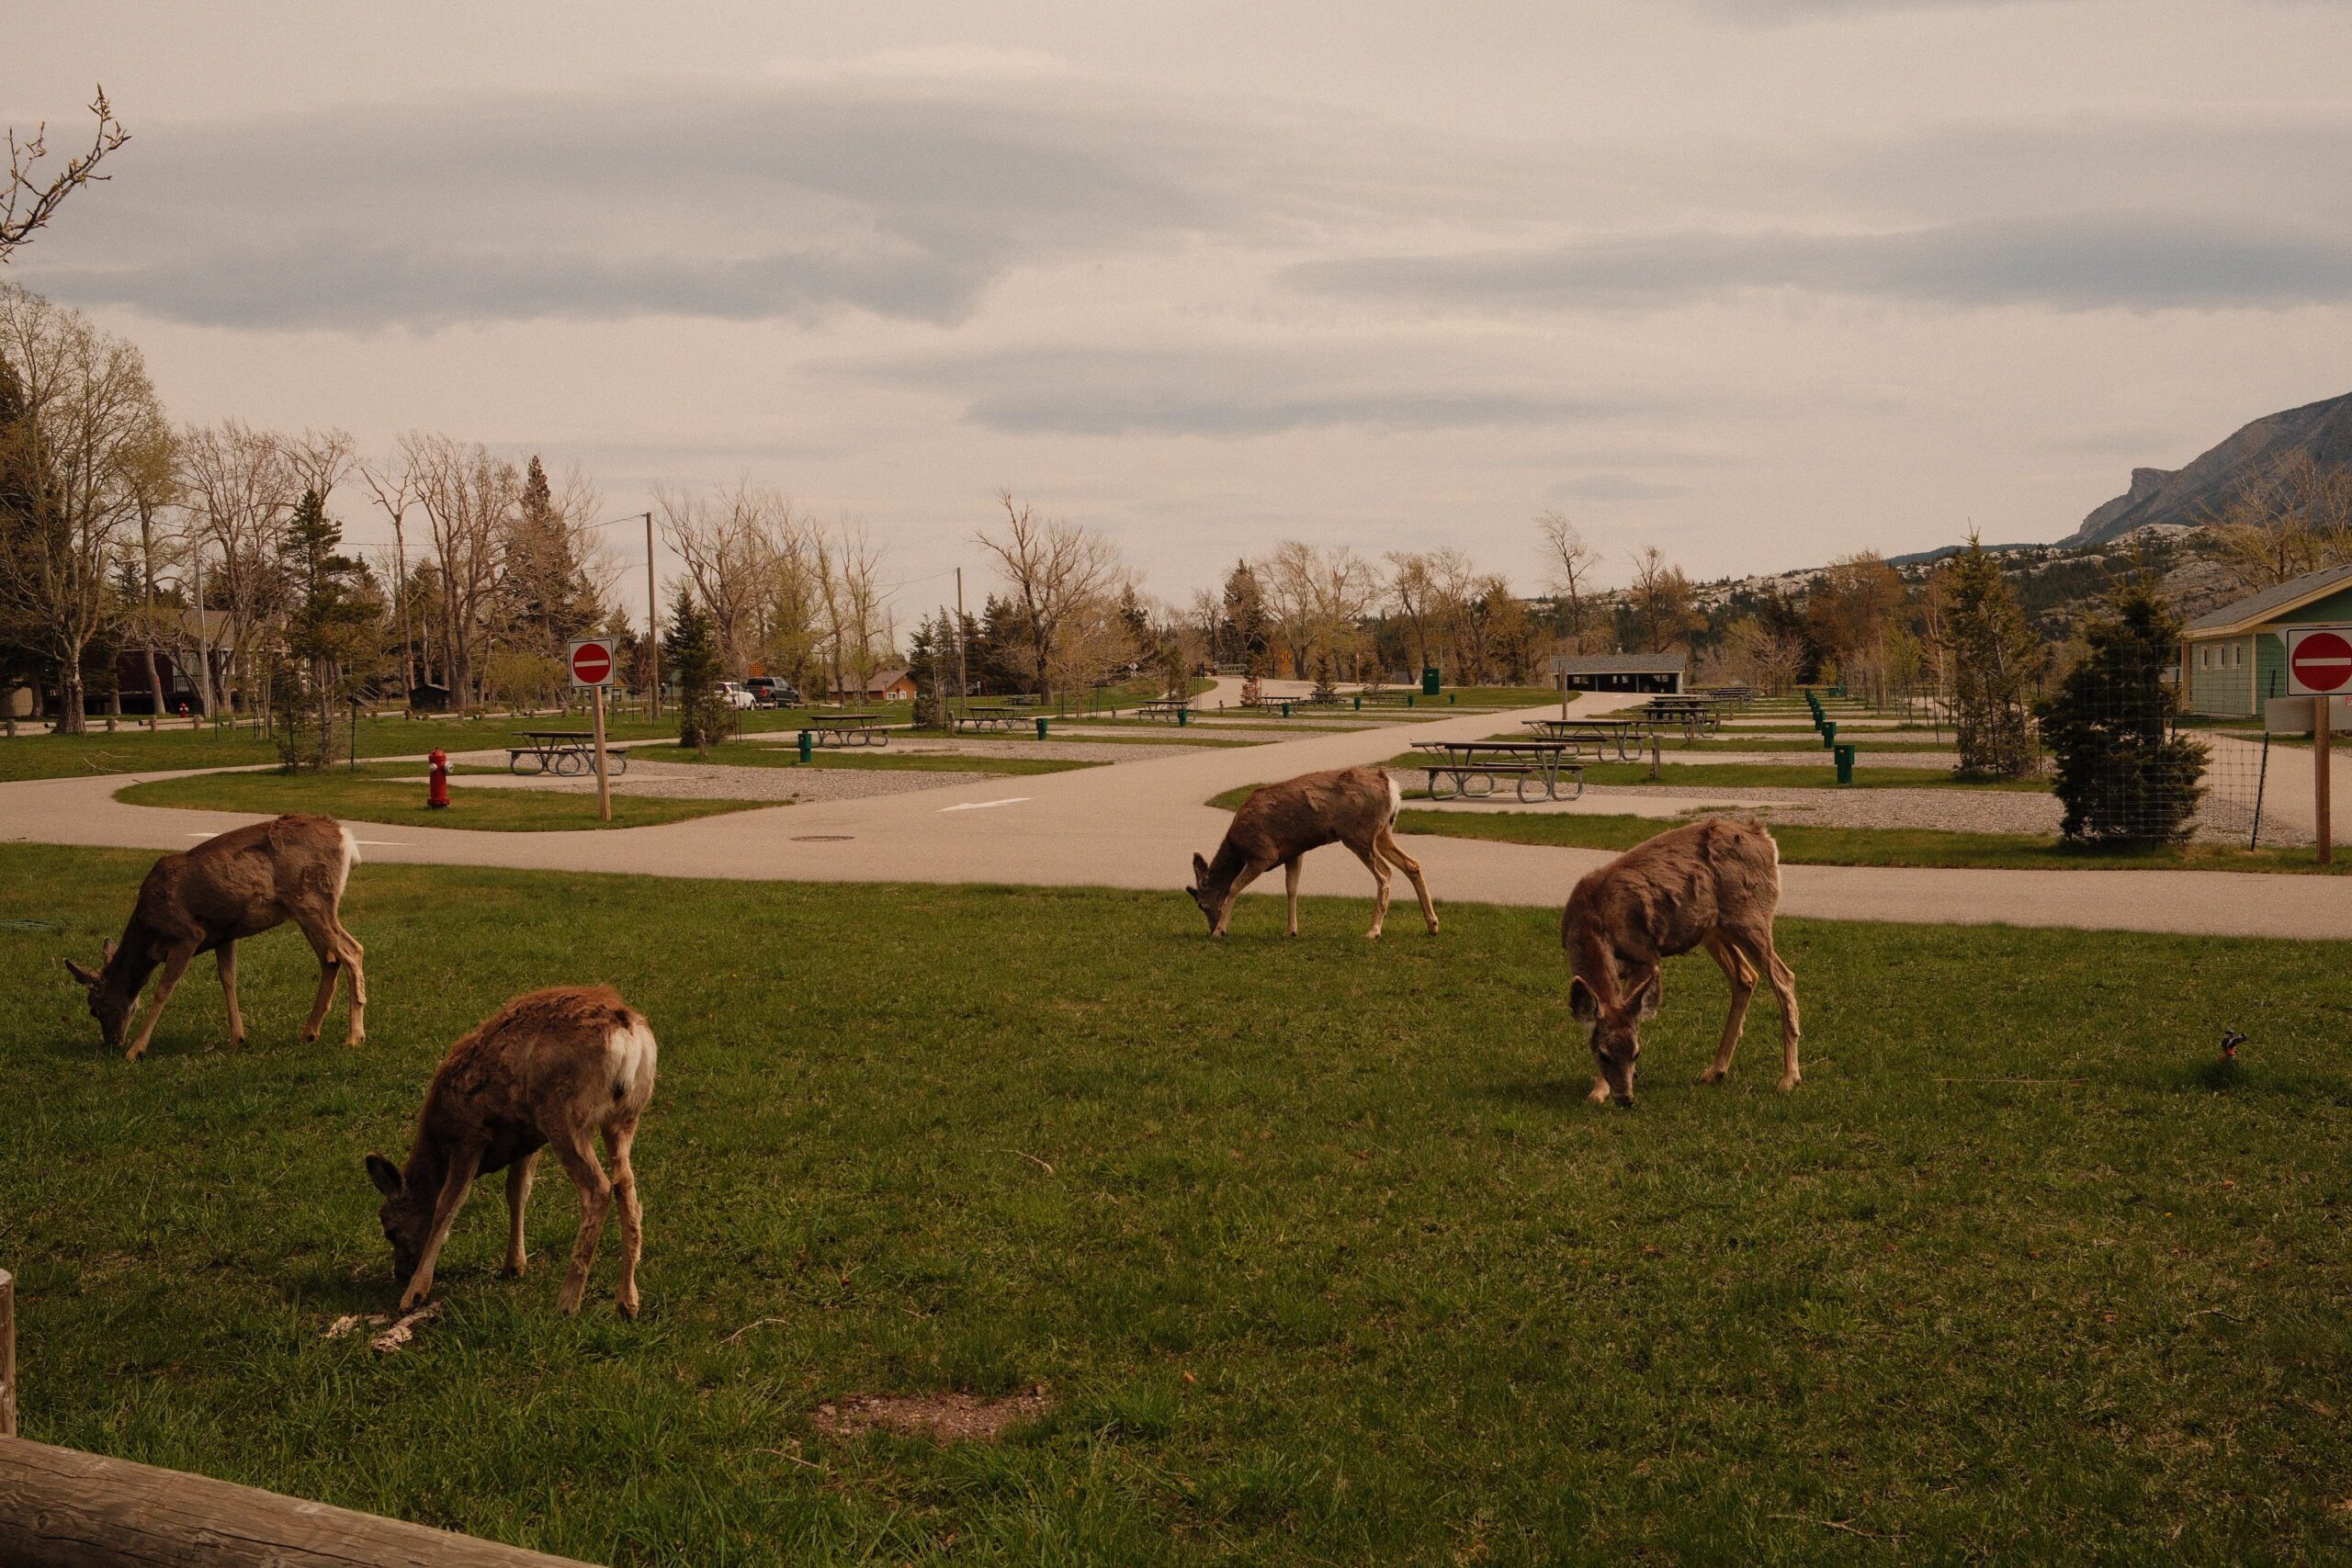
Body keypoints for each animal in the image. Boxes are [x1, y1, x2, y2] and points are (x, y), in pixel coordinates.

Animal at [63, 813, 366, 1061]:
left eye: (94, 1008)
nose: (112, 1042)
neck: (148, 930)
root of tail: (346, 838)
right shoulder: (224, 935)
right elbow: (228, 980)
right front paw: (237, 1038)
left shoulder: (187, 934)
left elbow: (163, 989)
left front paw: (136, 1050)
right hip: (305, 910)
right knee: (330, 960)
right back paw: (309, 1033)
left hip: (313, 900)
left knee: (353, 951)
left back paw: (354, 1036)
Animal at [366, 985, 657, 1318]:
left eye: (389, 1228)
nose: (400, 1273)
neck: (437, 1139)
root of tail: (629, 1035)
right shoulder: (527, 1138)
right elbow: (518, 1191)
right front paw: (514, 1265)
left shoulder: (469, 1135)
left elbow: (447, 1205)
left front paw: (414, 1294)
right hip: (624, 1117)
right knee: (627, 1188)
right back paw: (628, 1302)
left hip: (565, 1114)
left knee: (598, 1188)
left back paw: (568, 1302)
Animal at [1187, 765, 1438, 939]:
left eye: (1201, 904)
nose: (1211, 927)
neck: (1236, 847)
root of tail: (1392, 788)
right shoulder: (1293, 852)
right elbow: (1292, 888)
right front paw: (1291, 930)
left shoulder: (1263, 853)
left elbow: (1233, 886)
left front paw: (1221, 930)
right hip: (1383, 833)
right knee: (1412, 864)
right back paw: (1433, 924)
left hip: (1359, 834)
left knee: (1385, 874)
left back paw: (1373, 931)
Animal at [1561, 816, 1800, 1108]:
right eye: (1602, 1054)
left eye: (1636, 1052)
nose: (1626, 1098)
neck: (1592, 921)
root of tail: (1765, 838)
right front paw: (1603, 1089)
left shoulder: (1646, 955)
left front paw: (1598, 1092)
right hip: (1713, 929)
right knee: (1745, 977)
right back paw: (1715, 1071)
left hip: (1751, 918)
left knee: (1783, 978)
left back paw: (1789, 1079)